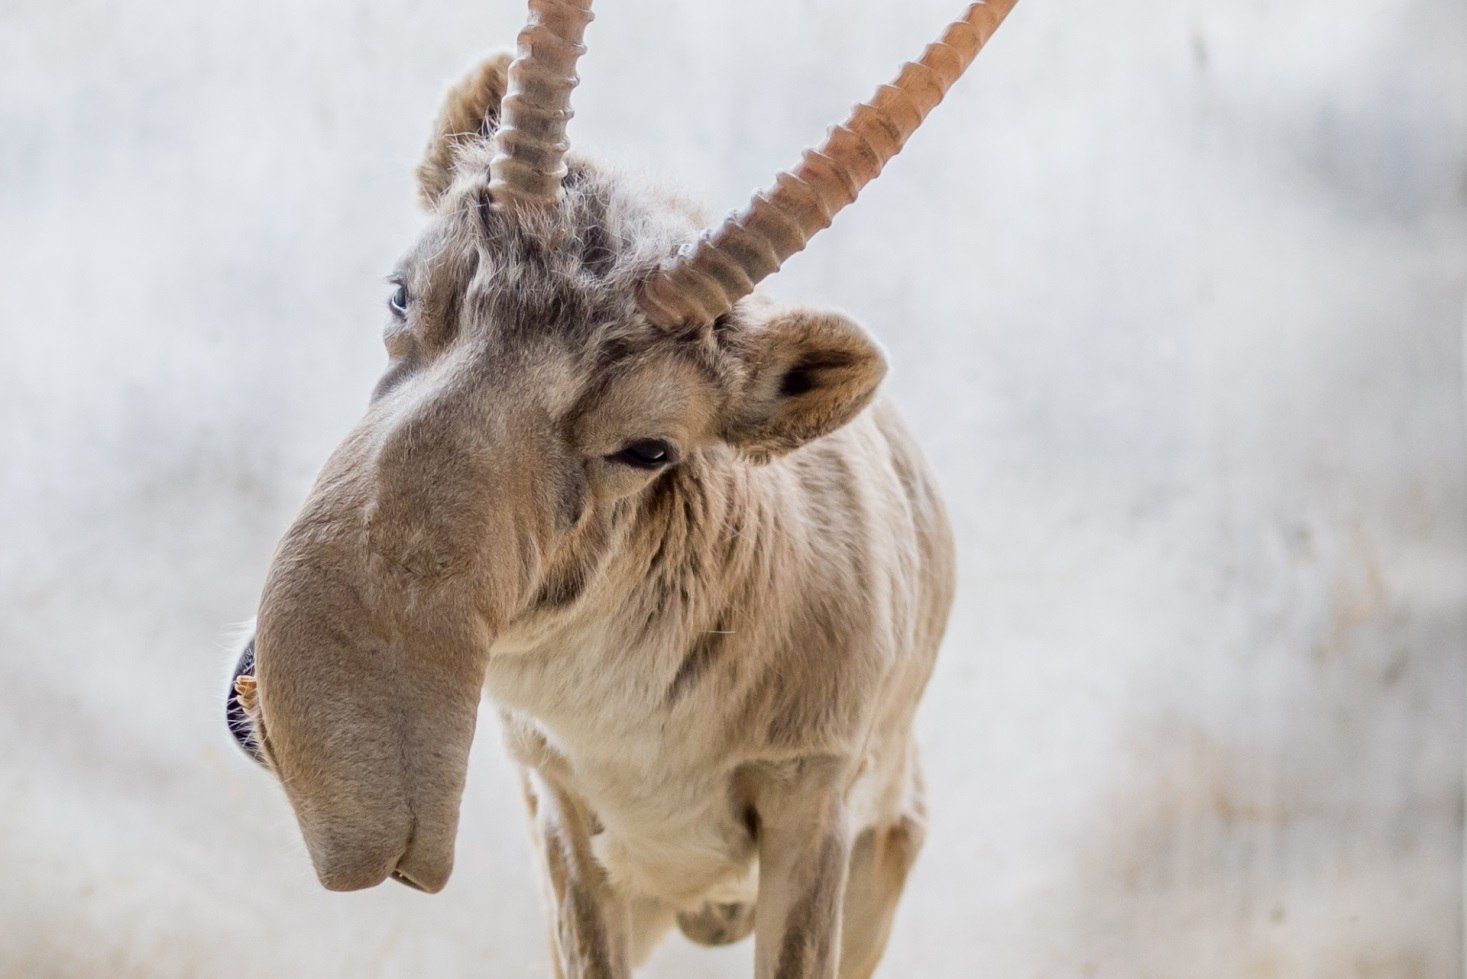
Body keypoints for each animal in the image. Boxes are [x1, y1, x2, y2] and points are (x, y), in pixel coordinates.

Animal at [222, 3, 1015, 974]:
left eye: (649, 447)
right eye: (402, 293)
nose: (338, 745)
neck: (639, 743)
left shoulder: (813, 801)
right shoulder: (557, 807)